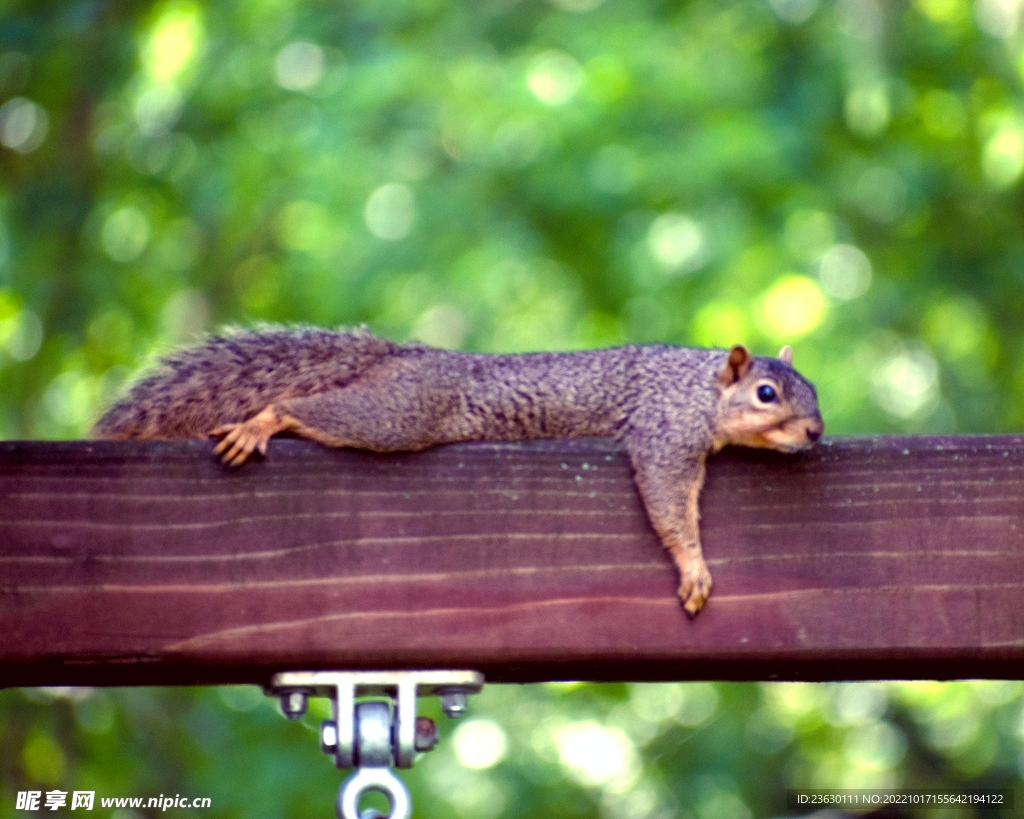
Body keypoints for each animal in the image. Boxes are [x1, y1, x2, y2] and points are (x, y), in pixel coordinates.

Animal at [90, 325, 823, 614]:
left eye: (813, 389)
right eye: (767, 393)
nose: (816, 431)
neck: (701, 389)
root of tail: (404, 354)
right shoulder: (665, 435)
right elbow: (670, 502)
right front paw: (693, 565)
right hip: (399, 413)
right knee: (308, 410)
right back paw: (263, 420)